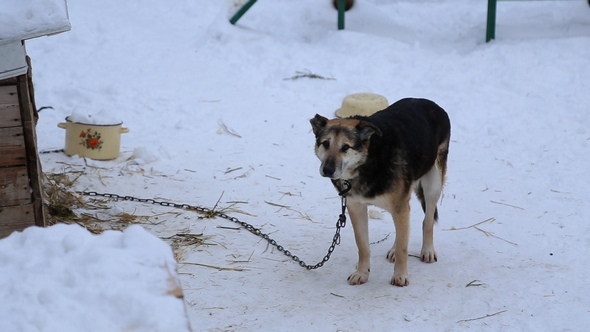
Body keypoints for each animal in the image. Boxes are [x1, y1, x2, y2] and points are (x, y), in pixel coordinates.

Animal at [310, 97, 454, 286]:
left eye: (346, 147)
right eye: (325, 144)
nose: (327, 170)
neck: (368, 161)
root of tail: (429, 102)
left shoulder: (399, 205)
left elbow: (403, 247)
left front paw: (400, 276)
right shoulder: (356, 208)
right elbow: (363, 246)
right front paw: (362, 273)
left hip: (432, 184)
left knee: (427, 221)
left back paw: (427, 250)